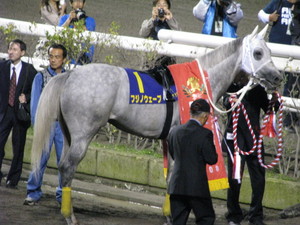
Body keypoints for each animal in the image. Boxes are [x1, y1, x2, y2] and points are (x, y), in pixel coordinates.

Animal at [30, 25, 282, 224]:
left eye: (270, 51)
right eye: (258, 53)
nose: (278, 78)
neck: (198, 80)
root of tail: (70, 76)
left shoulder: (171, 140)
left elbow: (171, 177)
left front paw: (169, 214)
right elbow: (175, 176)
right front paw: (173, 215)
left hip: (69, 134)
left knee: (63, 165)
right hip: (84, 135)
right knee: (67, 167)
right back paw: (69, 216)